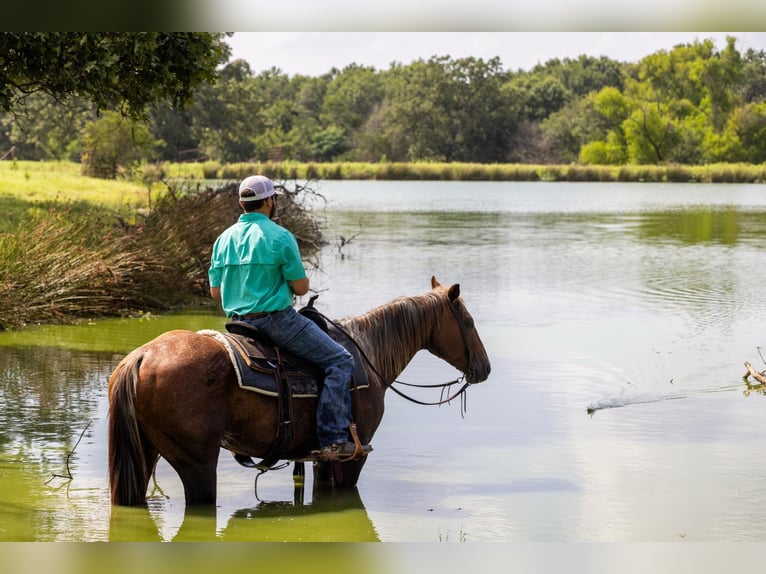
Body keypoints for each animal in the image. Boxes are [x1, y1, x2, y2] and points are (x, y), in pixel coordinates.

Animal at [108, 276, 491, 506]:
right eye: (468, 322)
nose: (485, 368)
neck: (367, 353)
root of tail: (141, 357)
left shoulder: (320, 458)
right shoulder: (355, 453)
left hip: (146, 453)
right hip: (197, 461)